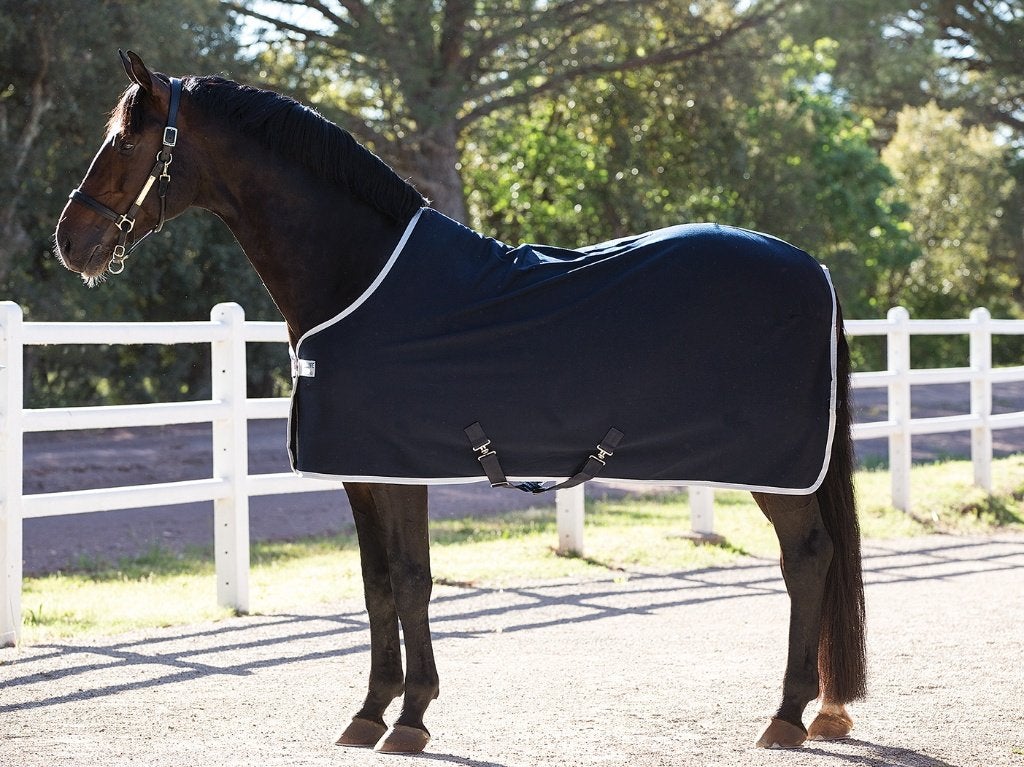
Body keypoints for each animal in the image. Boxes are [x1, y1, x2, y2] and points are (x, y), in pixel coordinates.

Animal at [53, 51, 866, 753]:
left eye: (126, 138)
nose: (70, 242)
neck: (360, 277)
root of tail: (814, 268)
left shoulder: (402, 469)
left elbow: (413, 581)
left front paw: (411, 718)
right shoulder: (364, 473)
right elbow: (378, 585)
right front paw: (369, 712)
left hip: (779, 472)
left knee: (808, 559)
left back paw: (787, 715)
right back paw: (822, 710)